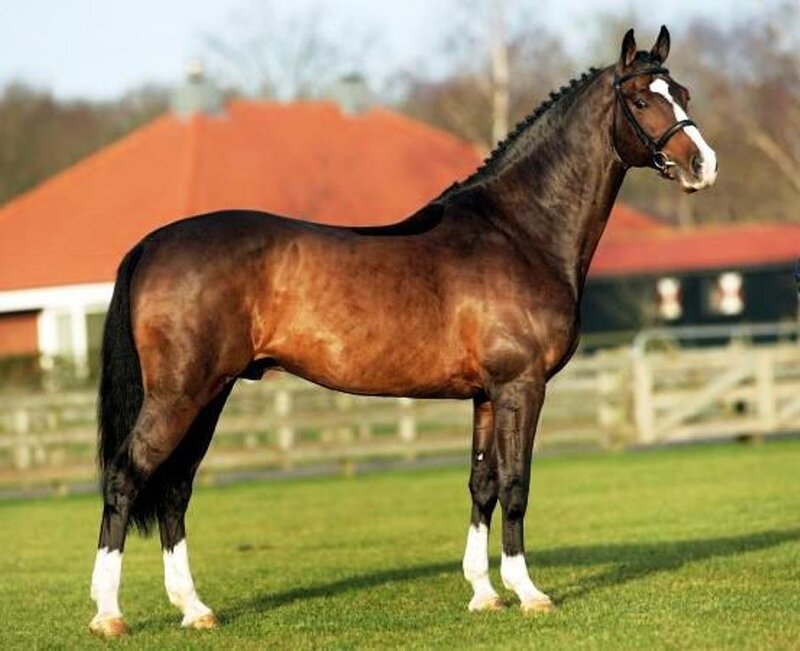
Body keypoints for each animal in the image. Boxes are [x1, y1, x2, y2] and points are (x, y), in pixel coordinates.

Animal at [89, 26, 717, 636]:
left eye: (684, 94)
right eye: (642, 100)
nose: (703, 165)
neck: (518, 232)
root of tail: (153, 242)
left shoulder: (486, 396)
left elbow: (482, 485)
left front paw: (484, 594)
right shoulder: (522, 386)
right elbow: (516, 485)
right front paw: (529, 593)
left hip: (210, 393)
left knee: (175, 487)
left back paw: (194, 609)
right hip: (181, 393)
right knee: (126, 476)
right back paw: (109, 614)